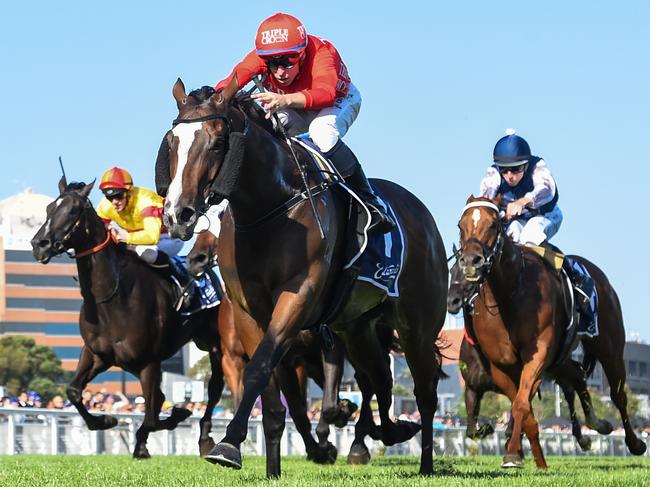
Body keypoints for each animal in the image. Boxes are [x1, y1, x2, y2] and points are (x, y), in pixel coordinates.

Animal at [31, 178, 223, 458]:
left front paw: (170, 419)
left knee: (215, 386)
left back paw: (205, 437)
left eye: (73, 210)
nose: (39, 244)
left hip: (214, 344)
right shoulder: (96, 354)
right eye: (48, 209)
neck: (110, 299)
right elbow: (74, 391)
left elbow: (151, 416)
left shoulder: (149, 363)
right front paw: (105, 420)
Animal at [155, 79, 448, 476]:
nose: (177, 214)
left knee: (425, 390)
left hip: (417, 324)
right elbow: (273, 394)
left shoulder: (298, 298)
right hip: (356, 328)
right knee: (379, 378)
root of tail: (423, 215)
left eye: (217, 143)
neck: (270, 207)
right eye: (171, 144)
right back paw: (389, 431)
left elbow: (260, 370)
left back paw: (425, 463)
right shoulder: (248, 313)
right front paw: (271, 467)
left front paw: (228, 445)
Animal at [454, 195, 644, 468]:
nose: (471, 261)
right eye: (461, 225)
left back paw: (634, 443)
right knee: (576, 376)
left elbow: (521, 404)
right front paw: (522, 452)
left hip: (610, 348)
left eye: (494, 224)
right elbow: (521, 405)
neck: (509, 295)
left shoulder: (538, 353)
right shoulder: (501, 365)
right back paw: (596, 425)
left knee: (618, 395)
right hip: (561, 359)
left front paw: (513, 454)